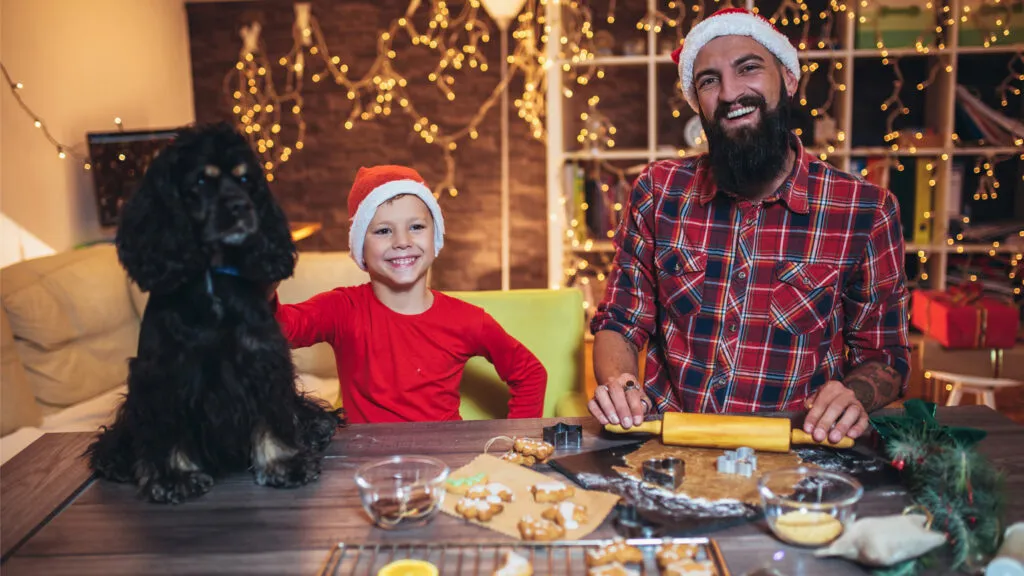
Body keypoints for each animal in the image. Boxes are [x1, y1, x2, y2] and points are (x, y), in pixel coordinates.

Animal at [86, 121, 342, 502]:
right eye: (201, 182)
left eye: (246, 179)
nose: (241, 207)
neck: (212, 278)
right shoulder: (163, 373)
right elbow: (168, 431)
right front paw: (174, 477)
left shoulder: (262, 360)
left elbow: (272, 417)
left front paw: (284, 464)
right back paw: (115, 460)